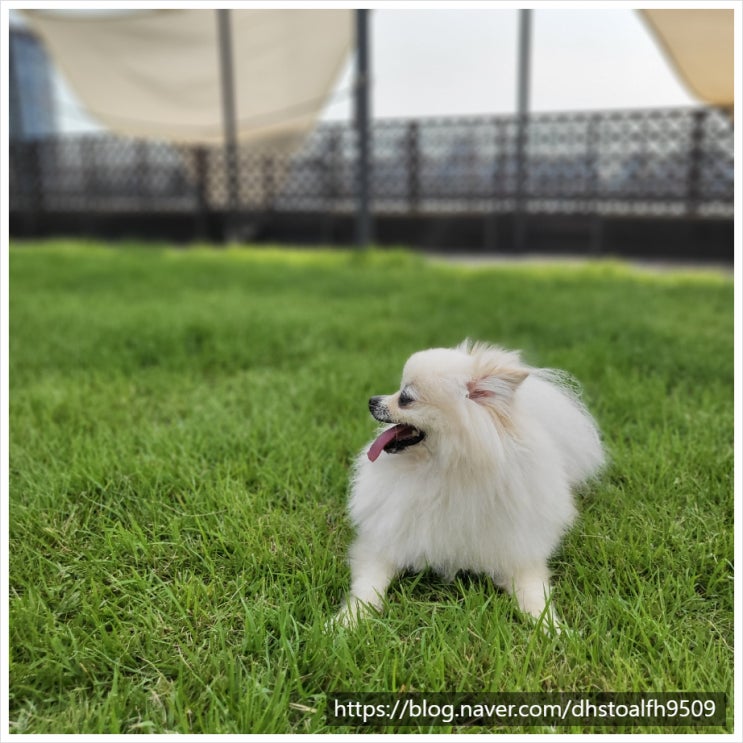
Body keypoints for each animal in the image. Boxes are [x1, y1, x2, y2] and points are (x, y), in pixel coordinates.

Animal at [338, 342, 604, 628]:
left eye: (405, 398)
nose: (372, 400)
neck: (445, 472)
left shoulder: (519, 553)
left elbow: (535, 598)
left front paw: (553, 629)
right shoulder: (385, 542)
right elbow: (368, 588)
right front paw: (347, 621)